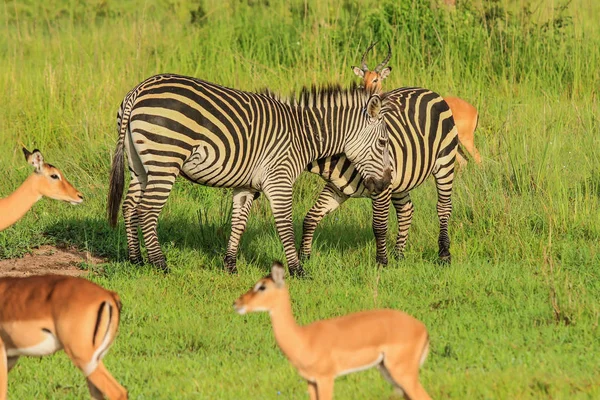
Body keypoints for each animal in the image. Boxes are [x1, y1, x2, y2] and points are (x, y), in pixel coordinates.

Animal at [107, 73, 394, 276]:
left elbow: (238, 223)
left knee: (130, 206)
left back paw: (136, 259)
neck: (302, 135)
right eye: (383, 143)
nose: (386, 183)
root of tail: (138, 90)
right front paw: (298, 270)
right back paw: (160, 264)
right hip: (164, 160)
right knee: (147, 211)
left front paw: (230, 265)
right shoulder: (279, 179)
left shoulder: (246, 186)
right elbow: (285, 225)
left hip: (140, 166)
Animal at [300, 86, 460, 264]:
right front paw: (304, 257)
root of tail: (428, 91)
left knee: (443, 207)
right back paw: (398, 255)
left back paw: (444, 254)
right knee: (406, 210)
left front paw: (382, 262)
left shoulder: (382, 189)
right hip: (399, 181)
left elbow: (379, 227)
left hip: (445, 162)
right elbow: (311, 217)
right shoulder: (338, 188)